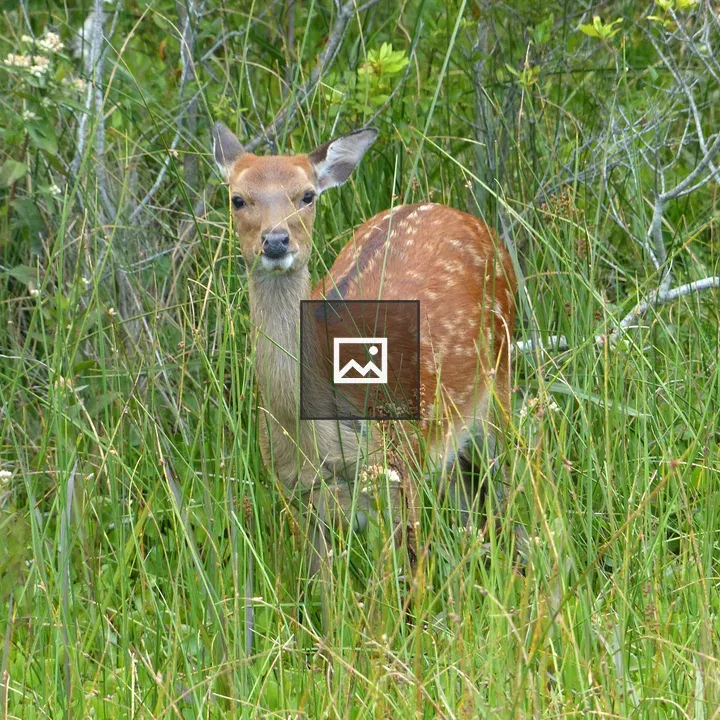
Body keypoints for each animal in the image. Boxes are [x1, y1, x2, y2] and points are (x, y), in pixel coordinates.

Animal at [212, 121, 517, 609]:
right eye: (238, 198)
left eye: (307, 195)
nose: (275, 241)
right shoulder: (297, 491)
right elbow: (323, 596)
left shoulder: (398, 468)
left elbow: (401, 585)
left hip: (500, 386)